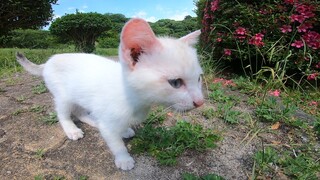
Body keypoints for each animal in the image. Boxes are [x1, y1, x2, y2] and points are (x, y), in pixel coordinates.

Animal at [15, 18, 202, 170]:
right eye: (176, 82)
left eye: (199, 78)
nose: (200, 102)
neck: (135, 100)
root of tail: (48, 61)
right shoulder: (109, 119)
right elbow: (114, 140)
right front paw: (123, 158)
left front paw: (124, 130)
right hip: (63, 96)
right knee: (63, 113)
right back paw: (72, 129)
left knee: (81, 111)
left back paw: (94, 121)